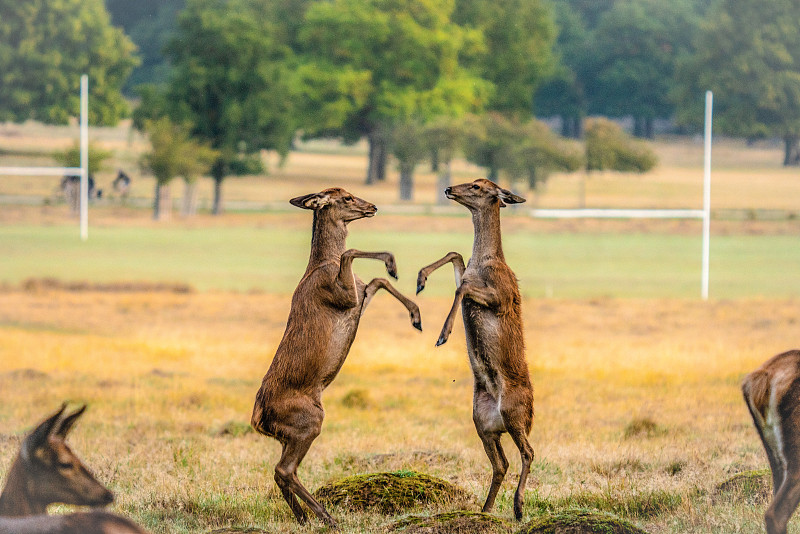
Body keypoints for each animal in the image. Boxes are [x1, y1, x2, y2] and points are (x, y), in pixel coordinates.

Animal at [253, 187, 422, 528]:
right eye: (345, 197)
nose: (372, 206)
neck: (322, 266)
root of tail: (258, 418)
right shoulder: (342, 296)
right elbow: (352, 253)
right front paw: (392, 264)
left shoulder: (356, 298)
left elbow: (377, 281)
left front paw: (415, 312)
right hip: (309, 419)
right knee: (284, 469)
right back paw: (326, 517)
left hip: (289, 433)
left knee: (281, 471)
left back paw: (303, 517)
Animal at [412, 180, 536, 524]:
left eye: (478, 186)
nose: (449, 188)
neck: (485, 263)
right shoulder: (469, 274)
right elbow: (457, 260)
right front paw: (420, 279)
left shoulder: (501, 296)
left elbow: (461, 287)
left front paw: (442, 335)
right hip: (482, 422)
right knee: (502, 463)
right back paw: (486, 509)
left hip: (514, 411)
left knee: (529, 452)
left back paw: (518, 507)